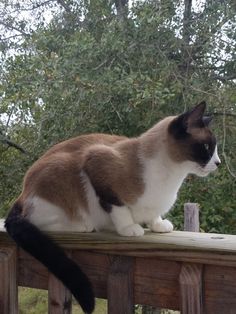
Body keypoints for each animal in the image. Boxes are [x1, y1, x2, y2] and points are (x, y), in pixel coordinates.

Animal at [4, 102, 221, 312]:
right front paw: (129, 229)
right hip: (61, 176)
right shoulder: (97, 164)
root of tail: (23, 192)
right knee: (41, 220)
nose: (218, 163)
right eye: (206, 147)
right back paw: (85, 226)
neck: (172, 177)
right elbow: (118, 208)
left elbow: (153, 215)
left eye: (214, 148)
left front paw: (158, 226)